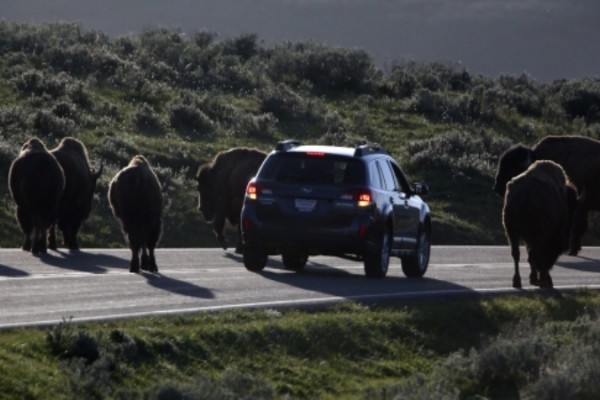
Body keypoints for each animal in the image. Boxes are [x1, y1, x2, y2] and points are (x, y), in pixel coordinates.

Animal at [504, 161, 580, 290]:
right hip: (529, 234)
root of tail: (522, 194)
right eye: (571, 214)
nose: (565, 245)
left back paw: (517, 282)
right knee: (533, 254)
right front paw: (545, 280)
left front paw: (536, 279)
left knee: (516, 254)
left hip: (512, 232)